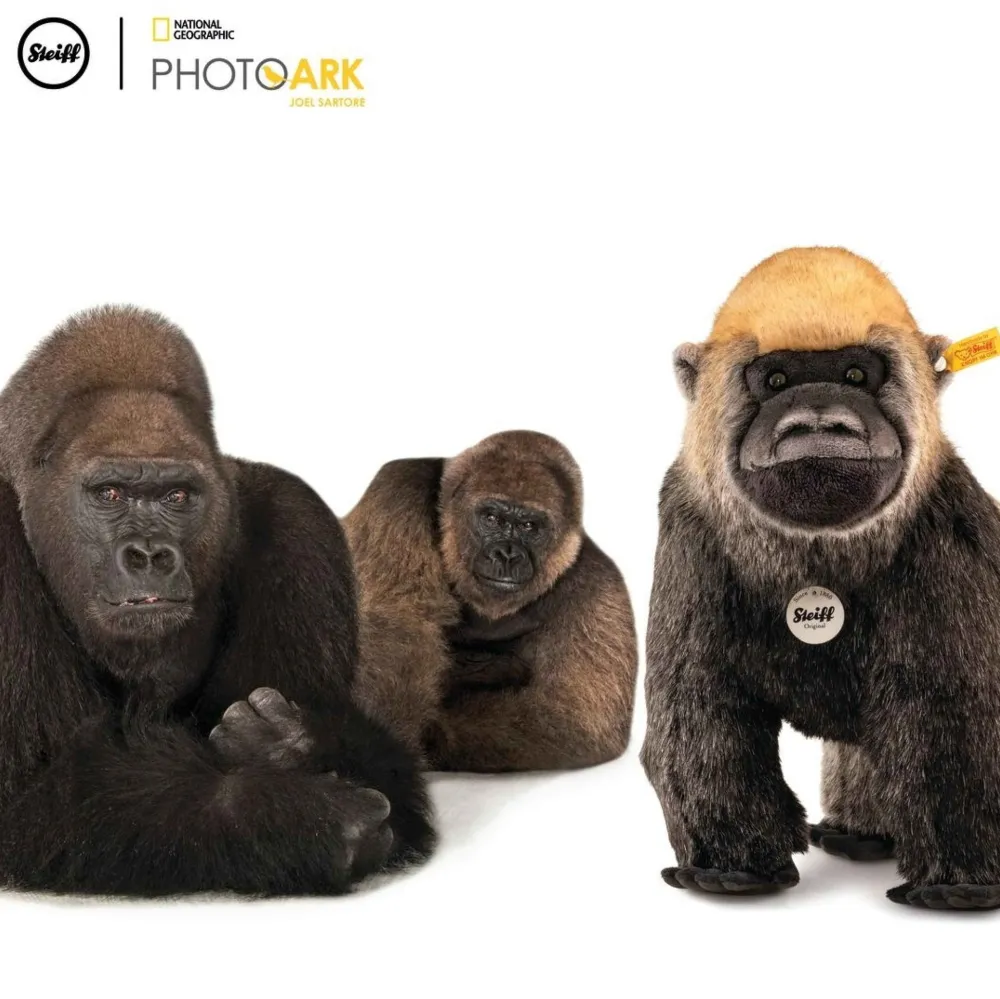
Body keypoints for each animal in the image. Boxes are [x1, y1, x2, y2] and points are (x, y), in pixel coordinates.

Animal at [0, 305, 434, 896]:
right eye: (109, 493)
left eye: (177, 496)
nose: (149, 554)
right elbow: (25, 794)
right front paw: (293, 815)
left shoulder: (298, 522)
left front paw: (295, 743)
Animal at [343, 431, 638, 772]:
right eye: (491, 518)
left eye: (529, 526)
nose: (506, 554)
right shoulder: (400, 490)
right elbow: (399, 627)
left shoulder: (597, 583)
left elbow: (575, 719)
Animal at [642, 246, 1000, 909]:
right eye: (776, 381)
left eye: (858, 375)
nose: (818, 421)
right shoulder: (688, 529)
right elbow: (700, 712)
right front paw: (731, 869)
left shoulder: (949, 529)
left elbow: (954, 719)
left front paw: (961, 885)